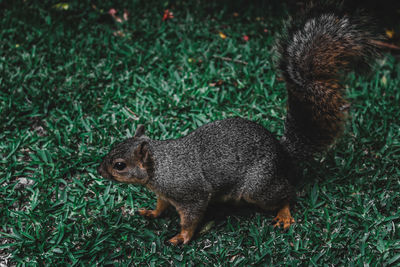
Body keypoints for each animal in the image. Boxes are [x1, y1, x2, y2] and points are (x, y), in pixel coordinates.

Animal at [96, 7, 378, 246]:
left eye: (119, 165)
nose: (99, 171)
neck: (160, 166)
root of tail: (282, 152)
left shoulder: (191, 194)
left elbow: (191, 217)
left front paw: (182, 237)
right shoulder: (165, 194)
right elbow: (160, 206)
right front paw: (151, 213)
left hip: (258, 188)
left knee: (287, 194)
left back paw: (284, 214)